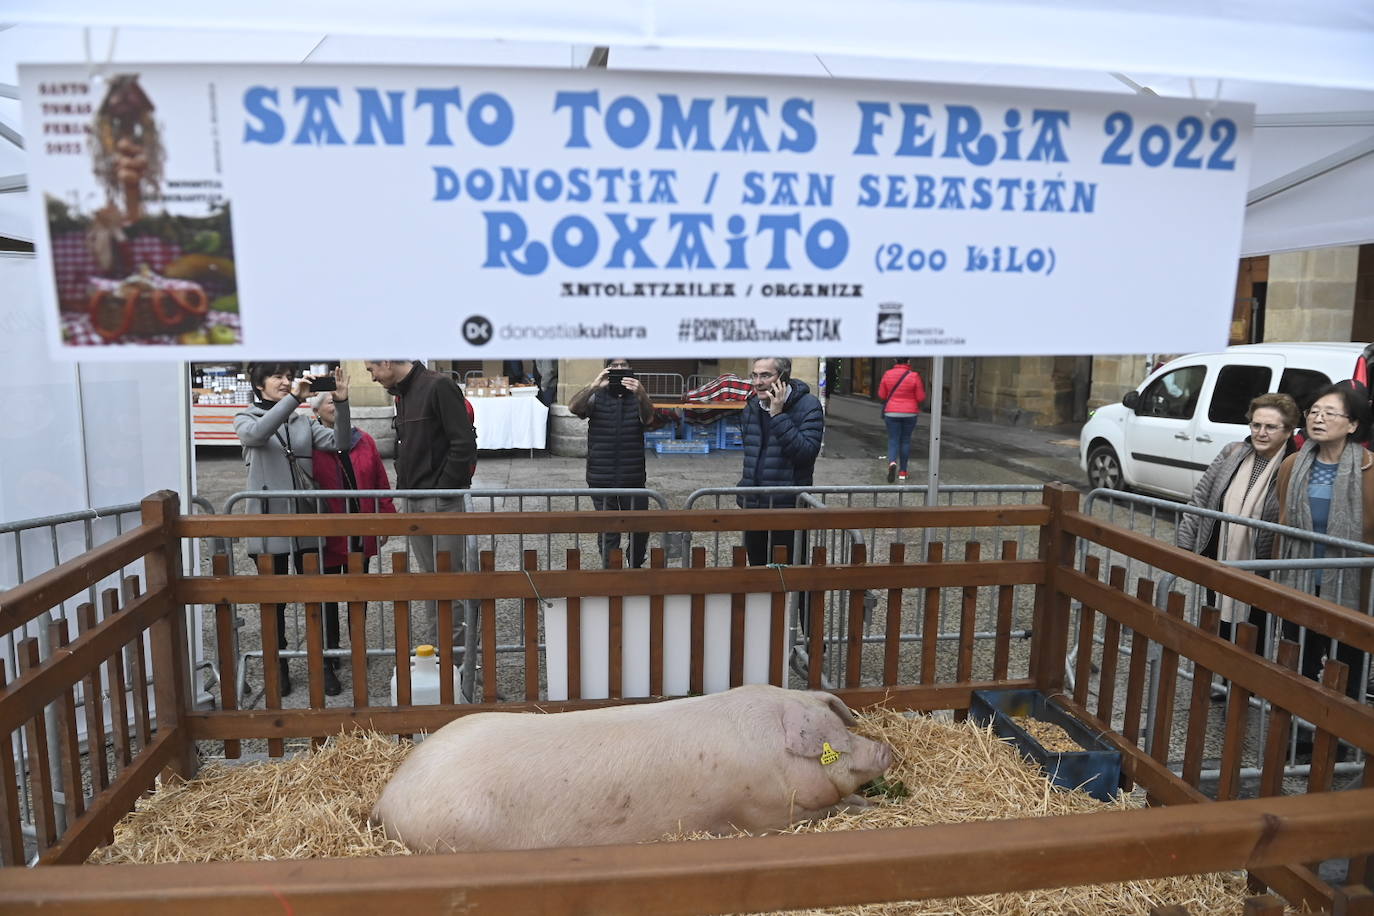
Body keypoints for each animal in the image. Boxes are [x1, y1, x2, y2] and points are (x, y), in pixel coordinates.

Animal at [370, 683, 895, 856]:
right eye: (834, 744)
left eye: (841, 724)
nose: (886, 751)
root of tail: (388, 797)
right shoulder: (764, 817)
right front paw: (864, 805)